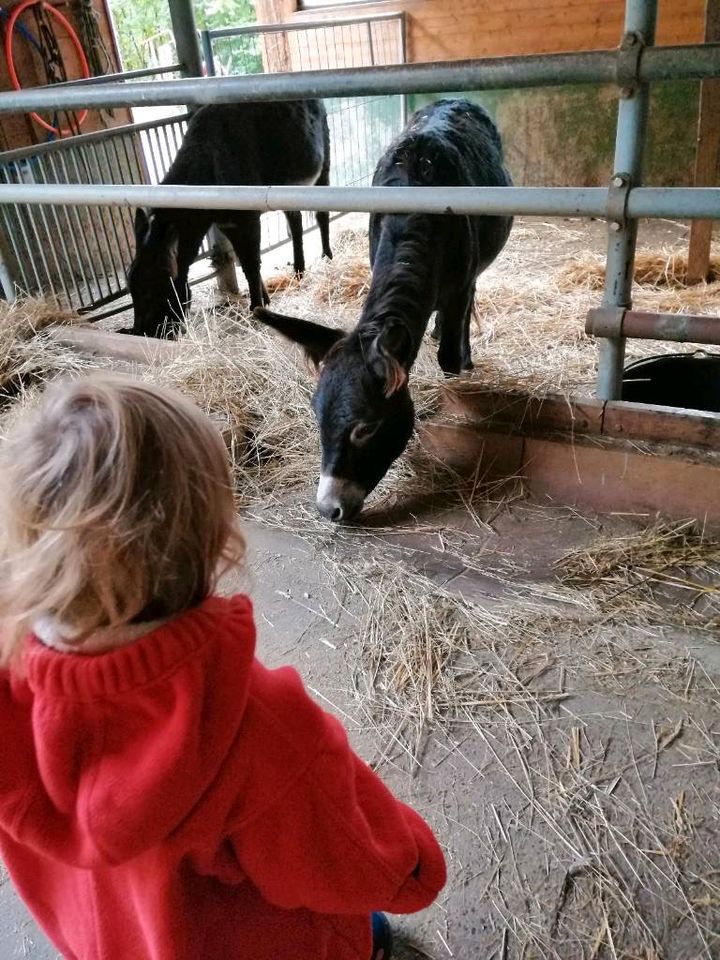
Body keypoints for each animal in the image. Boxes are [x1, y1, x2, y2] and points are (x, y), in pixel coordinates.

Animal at [129, 100, 332, 340]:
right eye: (131, 289)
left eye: (153, 289)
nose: (144, 333)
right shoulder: (228, 223)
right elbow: (244, 261)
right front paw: (264, 299)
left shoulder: (248, 218)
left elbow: (251, 264)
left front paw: (257, 308)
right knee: (296, 221)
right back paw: (299, 270)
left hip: (324, 163)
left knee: (321, 215)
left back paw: (327, 256)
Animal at [256, 98, 516, 520]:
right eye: (317, 417)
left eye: (366, 428)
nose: (329, 509)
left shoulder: (459, 286)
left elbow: (448, 355)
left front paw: (457, 386)